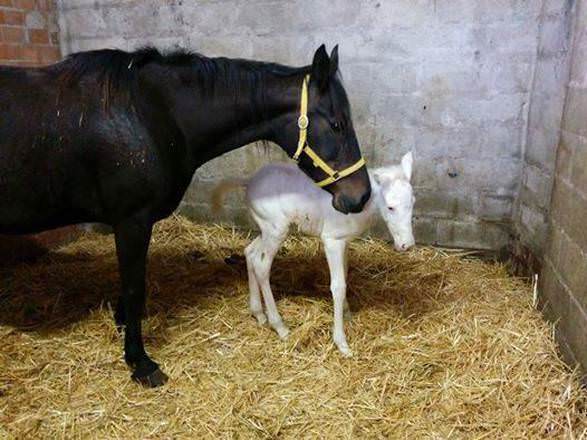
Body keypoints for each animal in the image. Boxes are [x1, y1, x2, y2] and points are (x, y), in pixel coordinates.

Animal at [0, 43, 370, 384]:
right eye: (337, 124)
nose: (361, 196)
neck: (153, 113)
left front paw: (121, 324)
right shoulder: (132, 220)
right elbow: (134, 286)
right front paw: (140, 362)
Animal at [214, 153, 416, 356]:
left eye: (413, 203)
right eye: (390, 207)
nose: (407, 244)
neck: (362, 205)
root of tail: (249, 182)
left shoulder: (344, 241)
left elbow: (345, 274)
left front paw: (347, 313)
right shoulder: (332, 240)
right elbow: (338, 286)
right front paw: (342, 343)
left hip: (267, 228)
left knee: (250, 252)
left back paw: (258, 313)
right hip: (276, 229)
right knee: (262, 265)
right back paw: (279, 326)